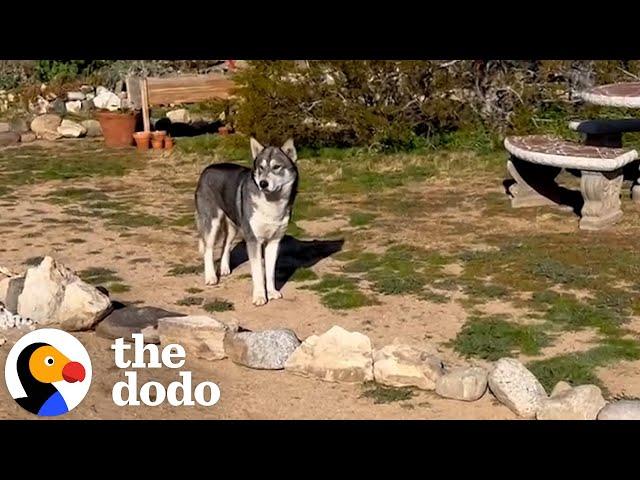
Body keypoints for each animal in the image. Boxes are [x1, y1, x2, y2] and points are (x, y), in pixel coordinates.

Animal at [194, 137, 298, 306]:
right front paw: (260, 296)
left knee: (225, 245)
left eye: (276, 167)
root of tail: (208, 169)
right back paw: (211, 277)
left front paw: (272, 292)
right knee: (208, 249)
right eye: (261, 168)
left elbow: (270, 273)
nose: (263, 183)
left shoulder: (274, 242)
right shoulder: (253, 240)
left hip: (234, 227)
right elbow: (258, 273)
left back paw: (224, 268)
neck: (272, 203)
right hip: (212, 223)